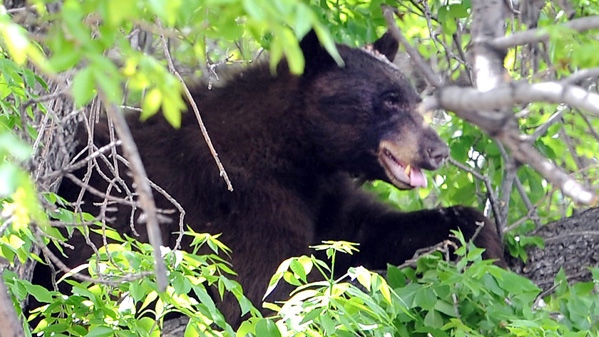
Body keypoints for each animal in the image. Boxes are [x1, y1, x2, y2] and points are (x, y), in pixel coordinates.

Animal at [41, 30, 502, 326]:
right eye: (388, 101)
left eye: (411, 97)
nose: (437, 151)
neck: (296, 152)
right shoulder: (247, 201)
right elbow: (265, 289)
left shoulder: (326, 198)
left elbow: (368, 234)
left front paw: (484, 243)